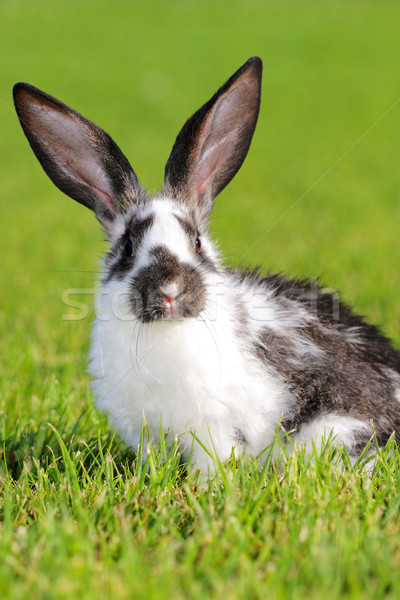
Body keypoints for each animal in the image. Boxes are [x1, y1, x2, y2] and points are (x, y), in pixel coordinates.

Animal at [12, 58, 400, 476]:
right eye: (128, 247)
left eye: (197, 242)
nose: (169, 291)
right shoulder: (148, 434)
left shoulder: (216, 428)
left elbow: (213, 461)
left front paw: (207, 485)